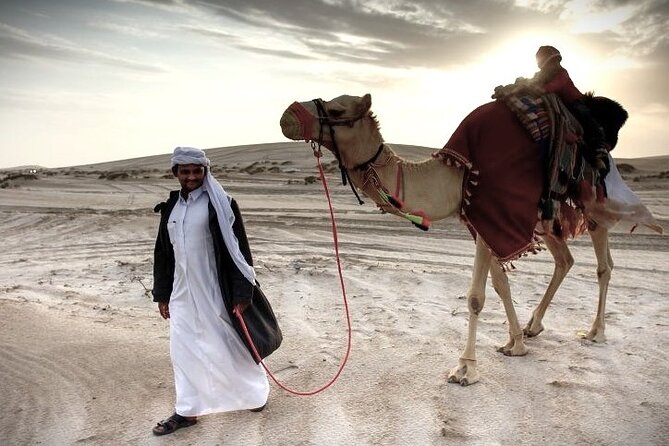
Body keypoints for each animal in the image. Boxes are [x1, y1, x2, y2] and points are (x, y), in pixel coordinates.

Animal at [279, 93, 662, 385]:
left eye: (337, 110)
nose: (287, 115)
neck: (456, 172)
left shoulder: (489, 210)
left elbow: (477, 296)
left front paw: (465, 368)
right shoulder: (480, 221)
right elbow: (501, 285)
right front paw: (515, 343)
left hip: (592, 201)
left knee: (603, 265)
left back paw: (595, 332)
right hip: (548, 217)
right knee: (565, 260)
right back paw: (534, 326)